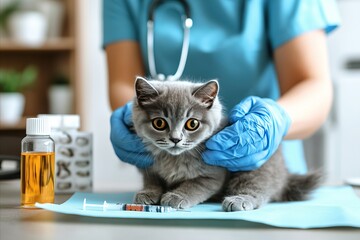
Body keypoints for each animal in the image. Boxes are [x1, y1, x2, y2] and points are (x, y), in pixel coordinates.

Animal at [131, 76, 318, 211]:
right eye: (159, 123)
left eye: (192, 124)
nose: (175, 139)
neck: (172, 159)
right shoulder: (149, 168)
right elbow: (152, 180)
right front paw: (147, 193)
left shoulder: (213, 175)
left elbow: (194, 185)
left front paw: (176, 196)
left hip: (253, 168)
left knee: (259, 189)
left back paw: (239, 200)